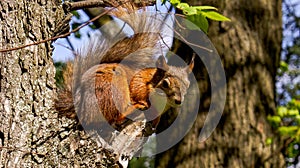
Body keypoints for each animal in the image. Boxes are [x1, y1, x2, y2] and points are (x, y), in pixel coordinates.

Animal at [54, 1, 195, 137]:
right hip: (113, 89)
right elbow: (137, 88)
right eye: (165, 83)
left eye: (188, 85)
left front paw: (154, 123)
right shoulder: (139, 81)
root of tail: (79, 107)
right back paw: (133, 108)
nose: (178, 101)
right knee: (113, 117)